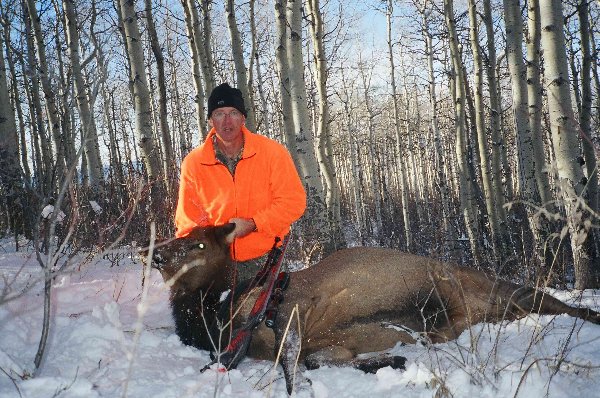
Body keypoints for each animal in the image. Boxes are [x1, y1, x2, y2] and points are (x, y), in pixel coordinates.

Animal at [142, 225, 600, 394]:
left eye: (200, 242)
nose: (158, 253)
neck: (214, 318)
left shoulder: (290, 313)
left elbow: (293, 363)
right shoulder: (323, 342)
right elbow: (318, 359)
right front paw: (391, 359)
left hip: (475, 286)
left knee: (556, 302)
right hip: (487, 308)